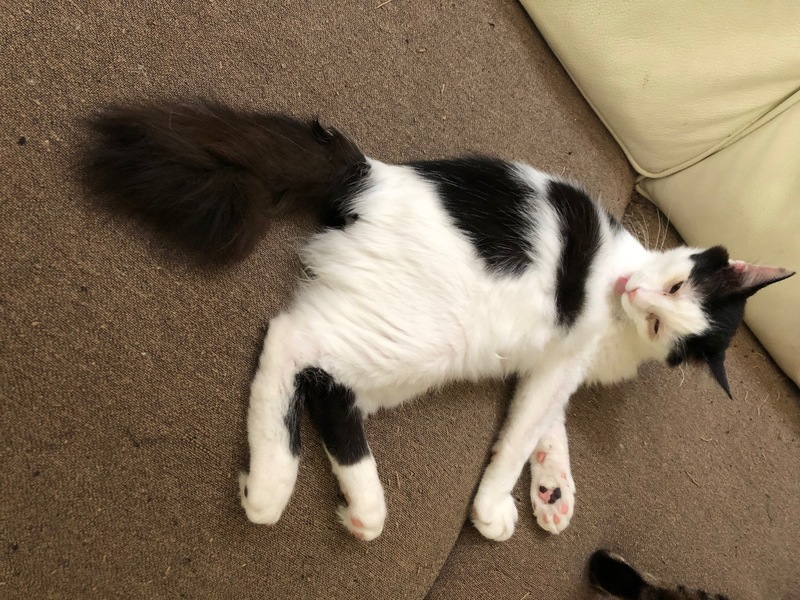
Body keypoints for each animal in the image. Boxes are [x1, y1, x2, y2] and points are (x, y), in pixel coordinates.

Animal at [85, 101, 794, 542]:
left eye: (660, 325)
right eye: (669, 289)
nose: (633, 293)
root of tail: (371, 176)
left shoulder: (556, 369)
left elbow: (544, 425)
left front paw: (552, 492)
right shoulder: (564, 359)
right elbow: (517, 440)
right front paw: (495, 506)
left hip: (400, 355)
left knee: (325, 389)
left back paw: (354, 505)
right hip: (428, 337)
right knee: (292, 342)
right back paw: (270, 486)